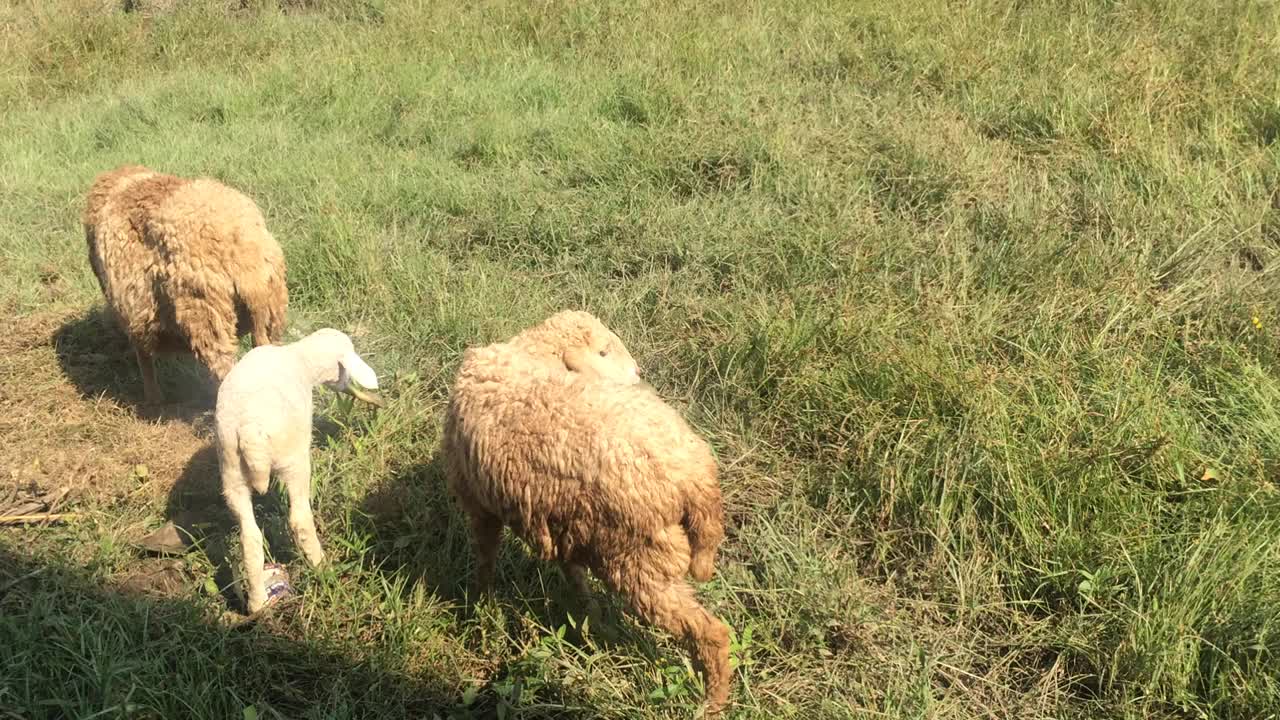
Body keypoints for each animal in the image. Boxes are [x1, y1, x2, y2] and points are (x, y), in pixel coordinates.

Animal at [82, 163, 288, 404]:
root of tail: (245, 260)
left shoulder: (132, 312)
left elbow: (143, 356)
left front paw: (153, 399)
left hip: (207, 317)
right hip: (271, 315)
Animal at [215, 326, 381, 609]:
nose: (351, 387)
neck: (300, 357)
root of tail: (251, 431)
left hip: (232, 474)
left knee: (250, 539)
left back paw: (257, 603)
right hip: (293, 462)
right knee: (299, 519)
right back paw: (324, 568)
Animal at [445, 335, 737, 712]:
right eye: (605, 350)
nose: (637, 374)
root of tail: (697, 478)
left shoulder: (480, 506)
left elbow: (485, 562)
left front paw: (481, 610)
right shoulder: (564, 524)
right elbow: (573, 574)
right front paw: (589, 615)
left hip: (641, 564)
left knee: (712, 632)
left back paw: (712, 702)